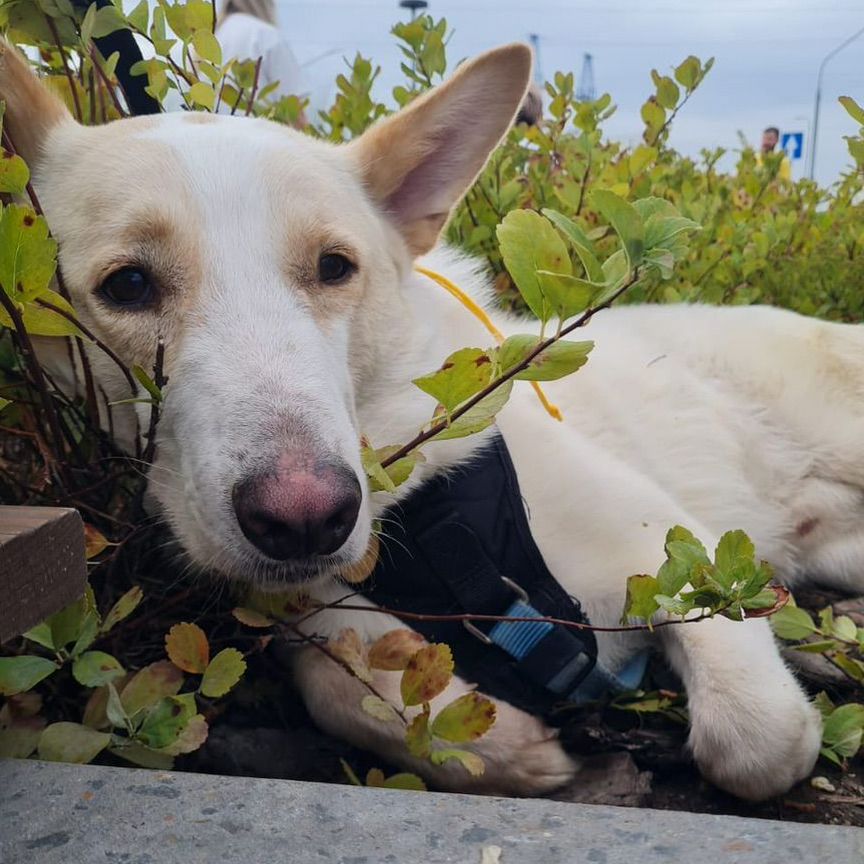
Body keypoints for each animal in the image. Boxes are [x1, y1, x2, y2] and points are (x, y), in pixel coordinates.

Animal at [5, 38, 856, 796]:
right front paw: (509, 749)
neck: (422, 510)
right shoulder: (326, 611)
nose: (308, 518)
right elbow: (342, 686)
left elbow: (757, 739)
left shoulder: (676, 550)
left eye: (334, 268)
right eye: (127, 285)